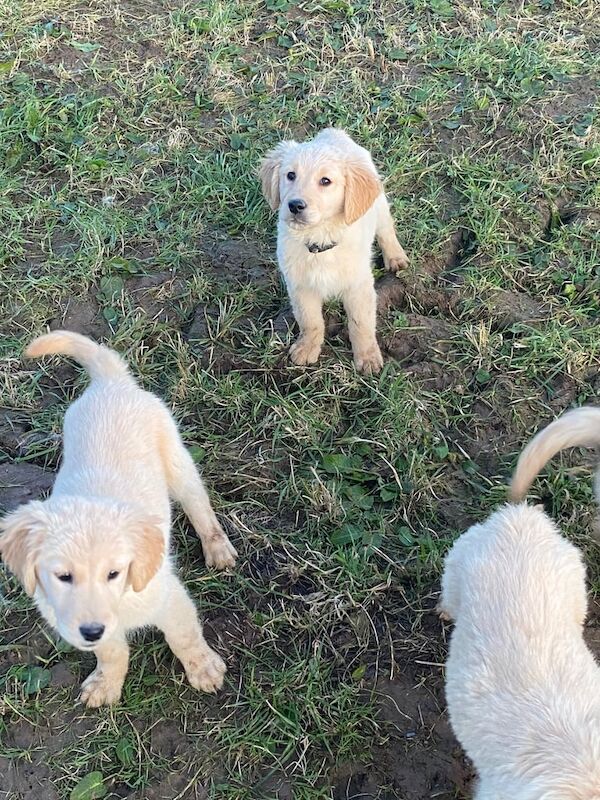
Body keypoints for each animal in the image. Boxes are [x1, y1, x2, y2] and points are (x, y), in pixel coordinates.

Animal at [0, 332, 239, 708]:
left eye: (114, 573)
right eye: (63, 576)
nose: (91, 630)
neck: (121, 602)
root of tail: (111, 383)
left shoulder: (169, 597)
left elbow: (184, 637)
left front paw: (203, 669)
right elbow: (111, 652)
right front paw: (106, 683)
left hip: (177, 462)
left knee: (199, 506)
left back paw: (218, 549)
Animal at [260, 128, 410, 376]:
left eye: (325, 181)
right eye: (290, 175)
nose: (295, 205)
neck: (318, 241)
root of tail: (333, 132)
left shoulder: (359, 286)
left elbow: (361, 324)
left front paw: (367, 357)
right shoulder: (300, 286)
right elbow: (310, 320)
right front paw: (307, 347)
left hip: (378, 207)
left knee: (386, 229)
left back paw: (396, 258)